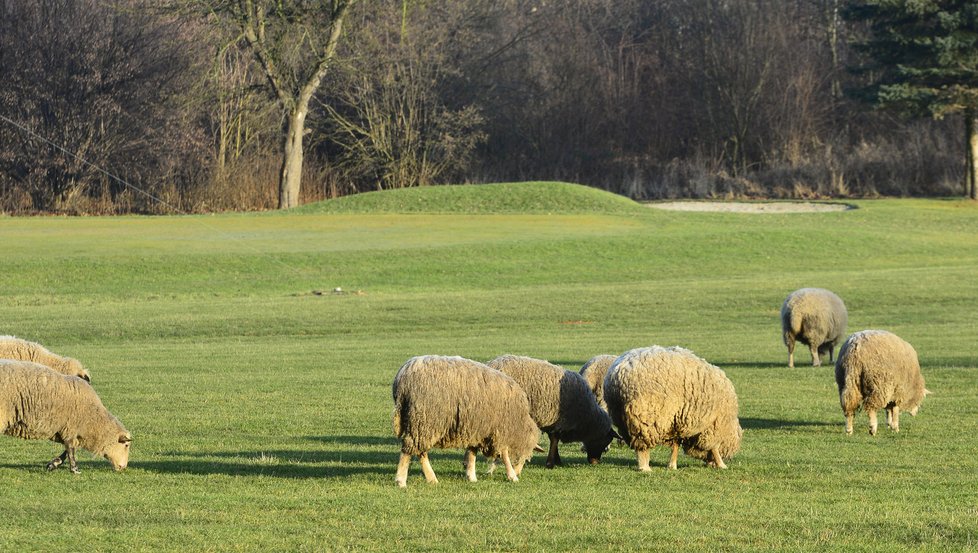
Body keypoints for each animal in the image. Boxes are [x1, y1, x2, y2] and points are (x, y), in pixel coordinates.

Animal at [0, 360, 131, 472]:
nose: (123, 467)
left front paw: (54, 464)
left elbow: (67, 450)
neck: (94, 419)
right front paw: (74, 469)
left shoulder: (68, 430)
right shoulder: (71, 427)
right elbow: (70, 449)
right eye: (126, 445)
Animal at [390, 356, 540, 486]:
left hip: (421, 422)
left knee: (420, 451)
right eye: (525, 457)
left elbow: (472, 452)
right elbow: (505, 455)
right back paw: (401, 480)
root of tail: (403, 377)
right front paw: (512, 475)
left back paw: (431, 478)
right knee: (408, 450)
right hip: (426, 419)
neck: (519, 421)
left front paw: (471, 475)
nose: (519, 471)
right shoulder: (499, 430)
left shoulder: (477, 429)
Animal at [484, 356, 612, 468]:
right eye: (604, 441)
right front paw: (551, 463)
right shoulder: (560, 421)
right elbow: (554, 440)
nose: (595, 462)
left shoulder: (553, 422)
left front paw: (556, 459)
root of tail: (491, 364)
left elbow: (553, 439)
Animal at [604, 344, 740, 470]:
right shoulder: (713, 425)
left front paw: (672, 465)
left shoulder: (677, 422)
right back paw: (645, 467)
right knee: (642, 445)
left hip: (621, 416)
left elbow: (675, 445)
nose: (711, 465)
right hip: (644, 416)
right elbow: (714, 447)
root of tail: (618, 372)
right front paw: (721, 464)